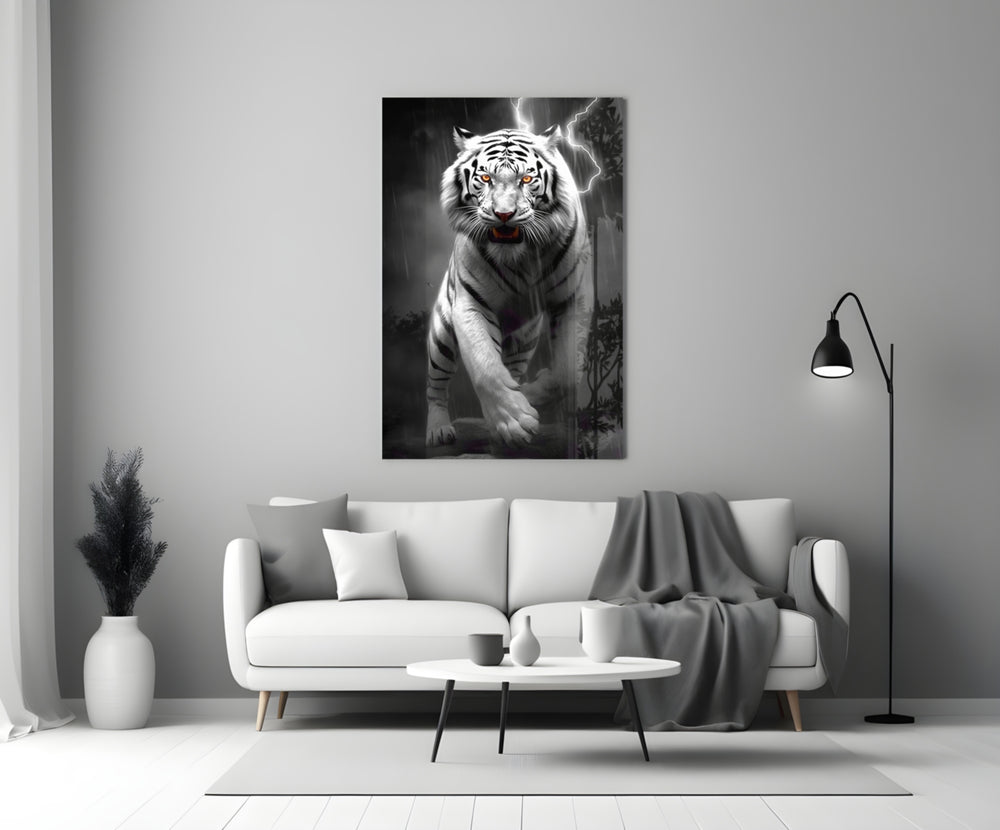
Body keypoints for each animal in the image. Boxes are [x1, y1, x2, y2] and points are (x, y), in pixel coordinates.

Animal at [425, 125, 593, 449]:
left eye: (526, 179)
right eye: (485, 178)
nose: (504, 214)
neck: (521, 256)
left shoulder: (572, 297)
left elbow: (566, 371)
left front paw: (527, 396)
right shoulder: (470, 302)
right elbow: (485, 366)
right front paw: (514, 422)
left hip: (524, 340)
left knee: (512, 367)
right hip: (441, 335)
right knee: (435, 386)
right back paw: (438, 430)